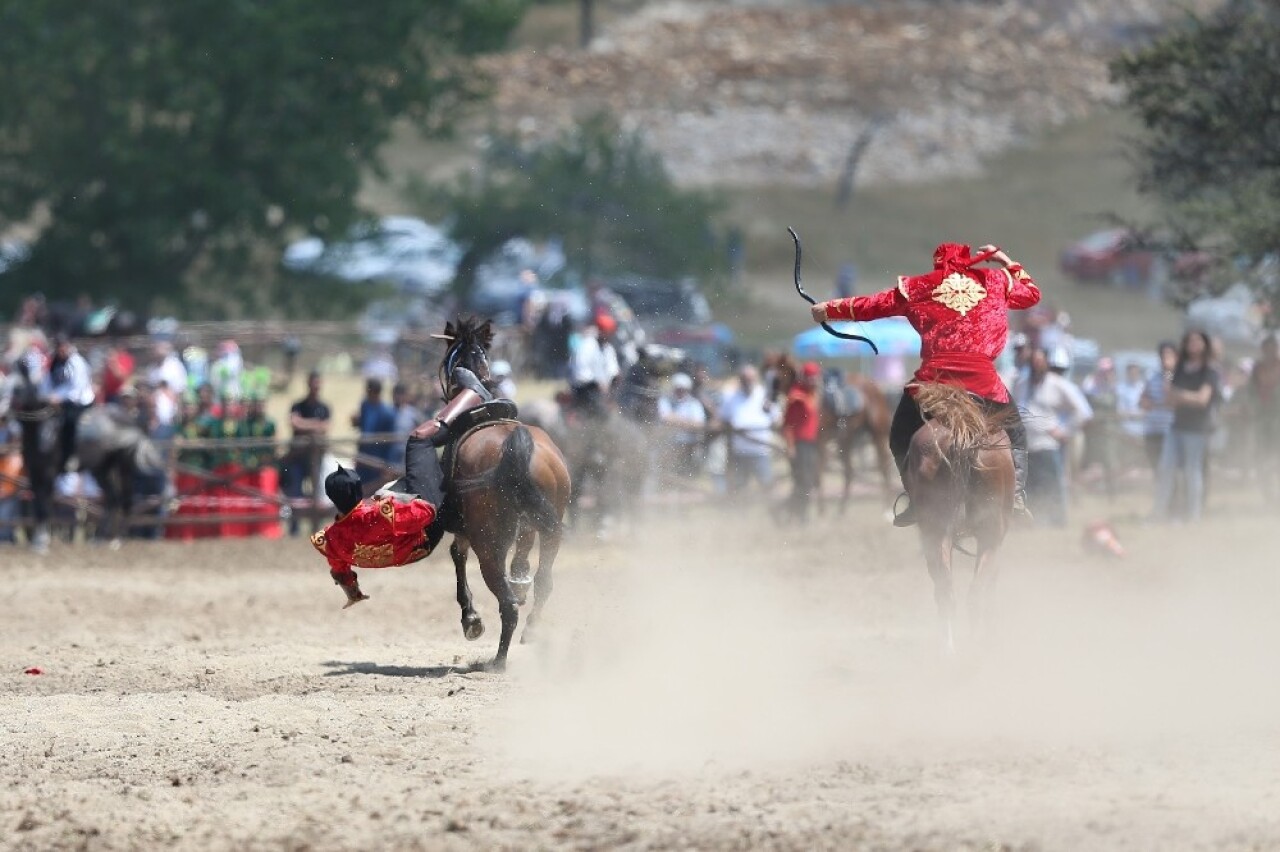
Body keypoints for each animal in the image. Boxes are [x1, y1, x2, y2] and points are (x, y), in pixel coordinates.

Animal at [435, 314, 570, 665]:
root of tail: (516, 444)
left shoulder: (465, 530)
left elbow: (457, 556)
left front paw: (471, 620)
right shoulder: (529, 524)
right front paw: (520, 578)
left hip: (488, 543)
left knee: (506, 602)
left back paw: (498, 660)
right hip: (550, 528)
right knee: (544, 582)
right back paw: (530, 629)